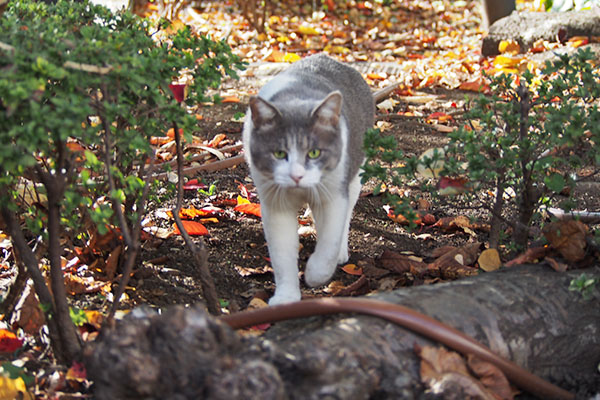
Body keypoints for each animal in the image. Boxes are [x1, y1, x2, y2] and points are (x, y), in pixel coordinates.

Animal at [241, 52, 372, 304]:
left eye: (314, 152)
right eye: (279, 153)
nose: (296, 175)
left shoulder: (333, 195)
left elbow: (330, 239)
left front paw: (315, 274)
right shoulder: (275, 205)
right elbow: (282, 256)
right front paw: (286, 297)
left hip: (354, 175)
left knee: (345, 217)